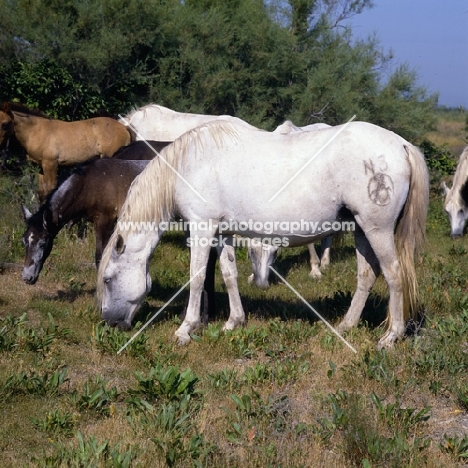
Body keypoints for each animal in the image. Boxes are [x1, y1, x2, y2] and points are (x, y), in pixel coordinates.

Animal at [0, 101, 135, 200]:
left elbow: (51, 189)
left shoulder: (50, 164)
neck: (36, 131)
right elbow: (41, 192)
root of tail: (125, 128)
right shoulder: (40, 167)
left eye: (5, 124)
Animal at [97, 119, 430, 350]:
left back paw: (391, 336)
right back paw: (346, 326)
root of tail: (401, 144)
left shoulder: (202, 227)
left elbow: (196, 276)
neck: (190, 163)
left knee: (393, 274)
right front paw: (233, 322)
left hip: (378, 230)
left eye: (108, 279)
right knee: (367, 275)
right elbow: (228, 273)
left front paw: (186, 329)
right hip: (361, 229)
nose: (109, 323)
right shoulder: (222, 232)